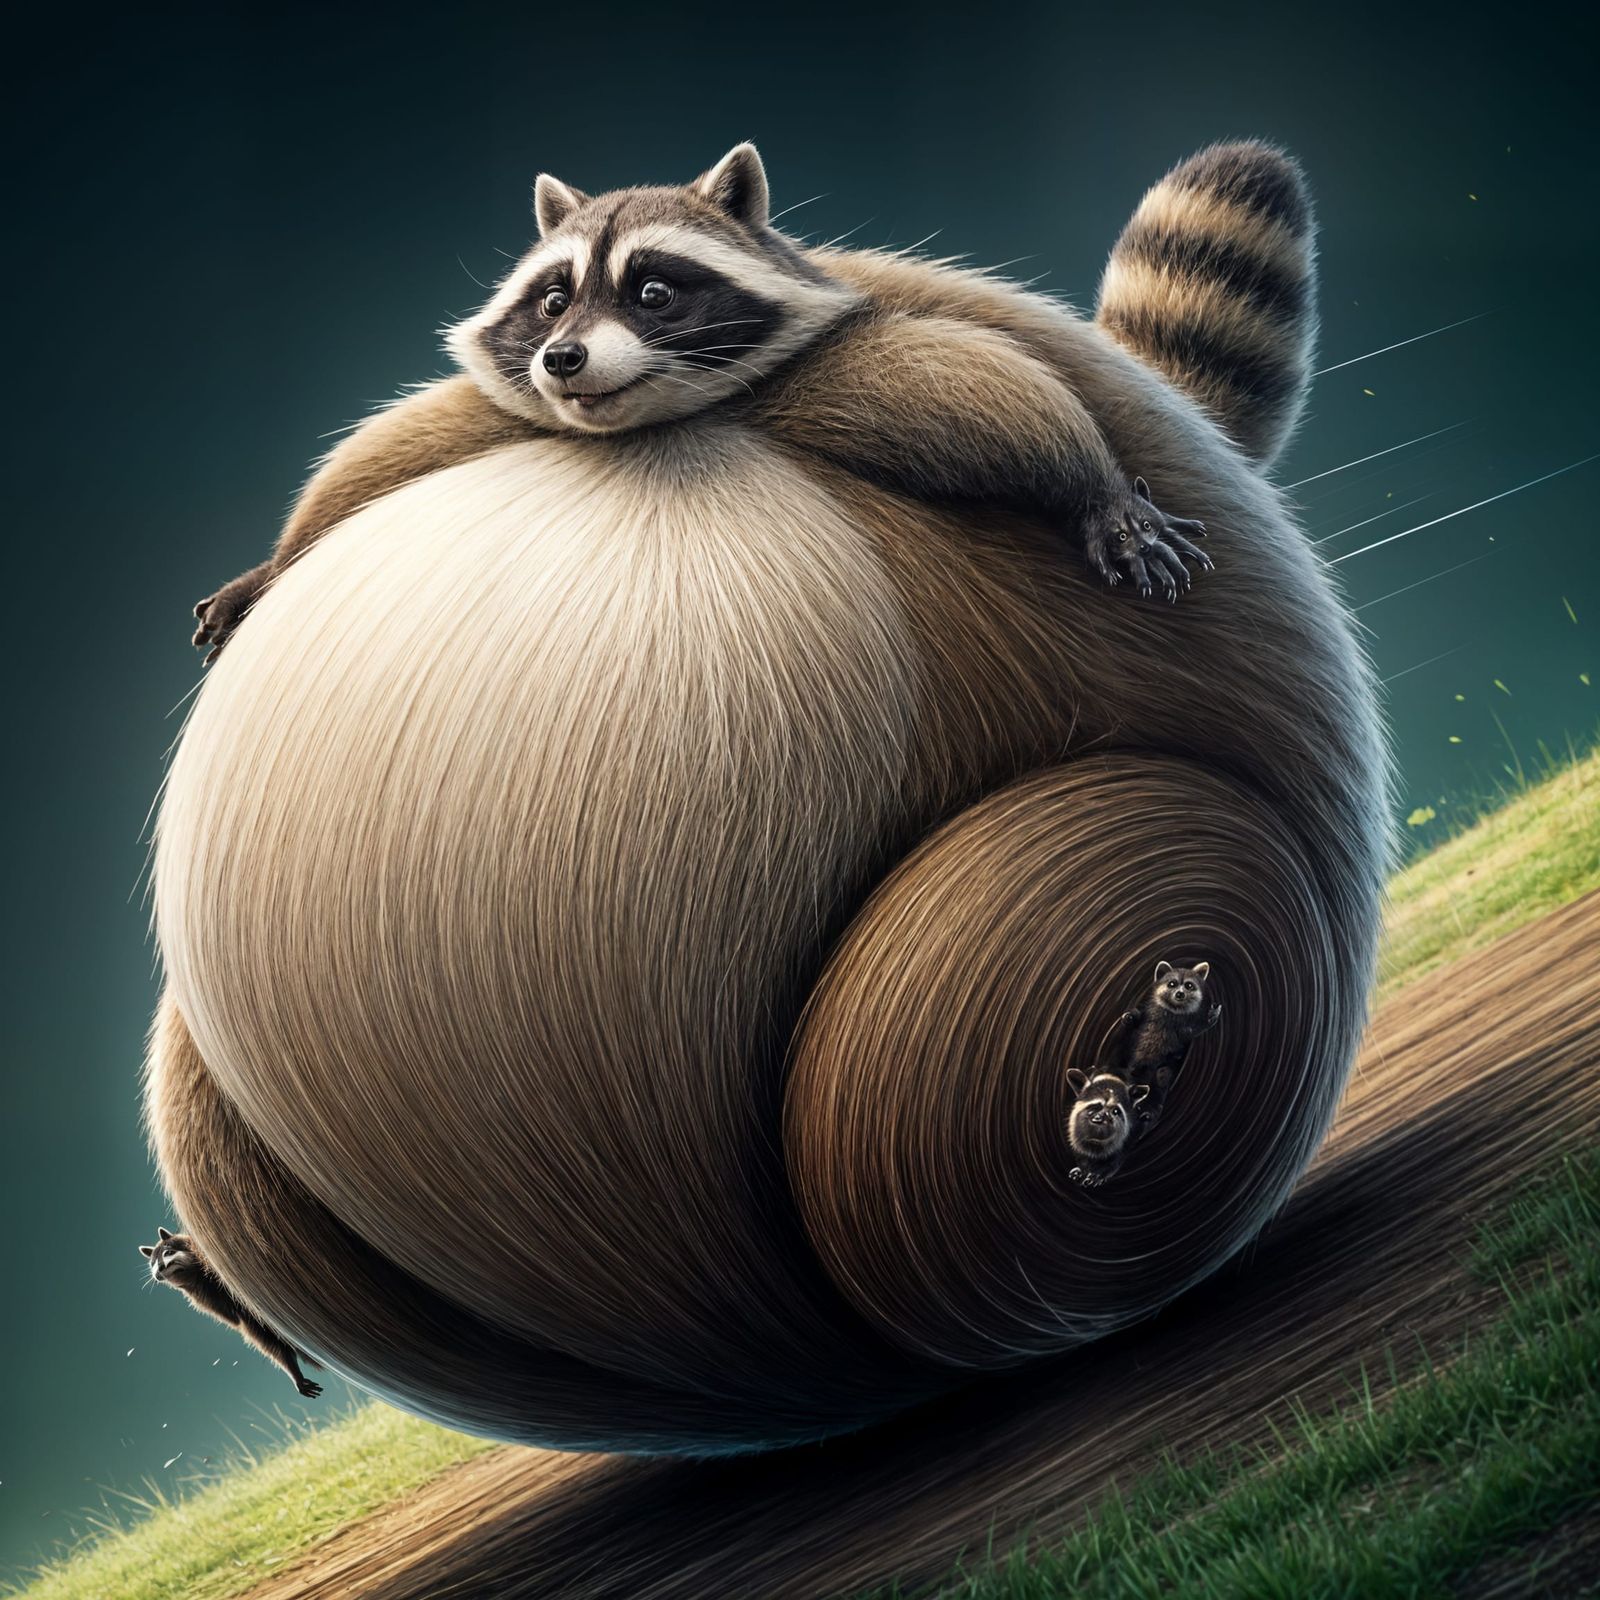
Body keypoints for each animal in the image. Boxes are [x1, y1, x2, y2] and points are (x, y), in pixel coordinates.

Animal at [140, 1226, 323, 1398]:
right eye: (152, 1263)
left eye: (168, 1252)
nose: (158, 1270)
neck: (197, 1276)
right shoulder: (230, 1309)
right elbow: (266, 1339)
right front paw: (294, 1372)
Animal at [191, 143, 1216, 660]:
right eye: (553, 301)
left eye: (653, 292)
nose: (564, 360)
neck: (655, 414)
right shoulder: (504, 407)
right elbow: (385, 453)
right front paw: (276, 562)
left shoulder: (835, 370)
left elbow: (996, 394)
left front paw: (1094, 484)